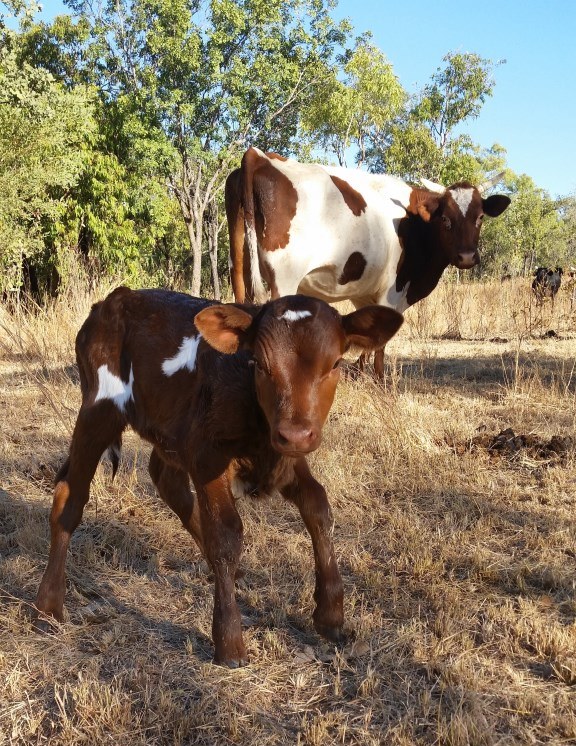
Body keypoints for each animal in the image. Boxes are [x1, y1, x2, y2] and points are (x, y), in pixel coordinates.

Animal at [33, 284, 402, 664]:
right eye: (260, 364)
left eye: (335, 364)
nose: (296, 434)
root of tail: (117, 297)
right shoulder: (207, 456)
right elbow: (225, 534)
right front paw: (229, 642)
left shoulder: (282, 454)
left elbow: (318, 506)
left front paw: (331, 614)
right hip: (98, 409)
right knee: (70, 497)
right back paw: (47, 606)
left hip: (169, 429)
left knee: (167, 480)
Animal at [227, 148, 510, 374]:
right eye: (445, 218)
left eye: (480, 216)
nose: (466, 257)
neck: (416, 223)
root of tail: (258, 156)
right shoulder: (393, 290)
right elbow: (381, 343)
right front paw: (380, 381)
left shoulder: (364, 292)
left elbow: (370, 335)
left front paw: (360, 373)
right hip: (284, 279)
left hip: (239, 265)